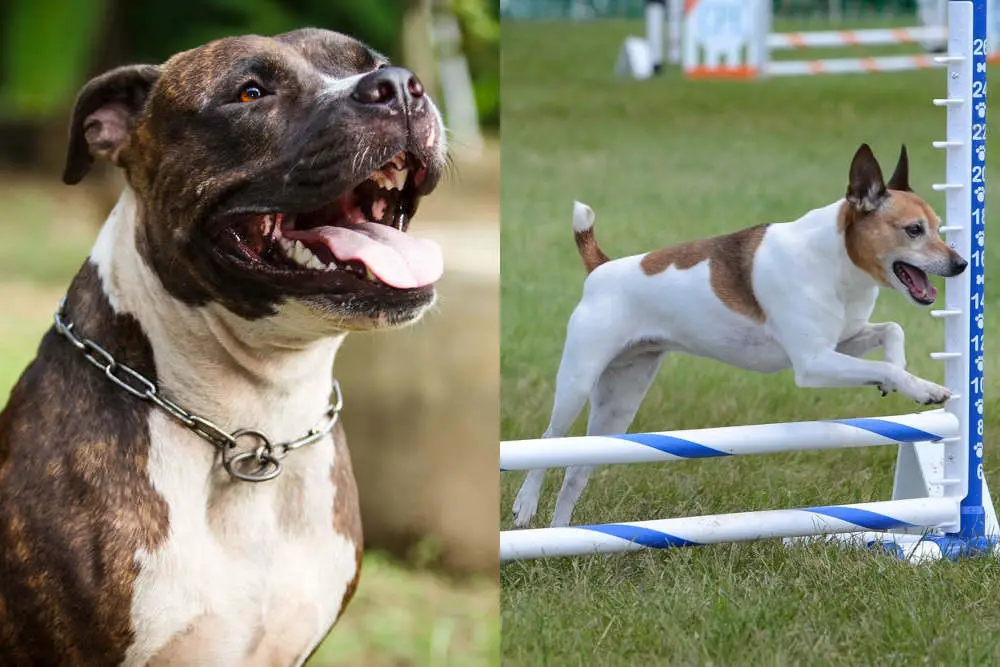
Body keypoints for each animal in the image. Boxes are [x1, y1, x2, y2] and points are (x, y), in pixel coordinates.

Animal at [512, 144, 964, 528]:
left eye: (940, 227)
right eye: (913, 230)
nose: (960, 264)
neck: (836, 259)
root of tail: (601, 268)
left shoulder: (841, 344)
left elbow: (892, 332)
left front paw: (899, 373)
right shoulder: (814, 363)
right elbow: (888, 361)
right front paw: (921, 387)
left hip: (618, 408)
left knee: (574, 472)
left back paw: (559, 537)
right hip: (577, 382)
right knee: (548, 441)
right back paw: (525, 507)